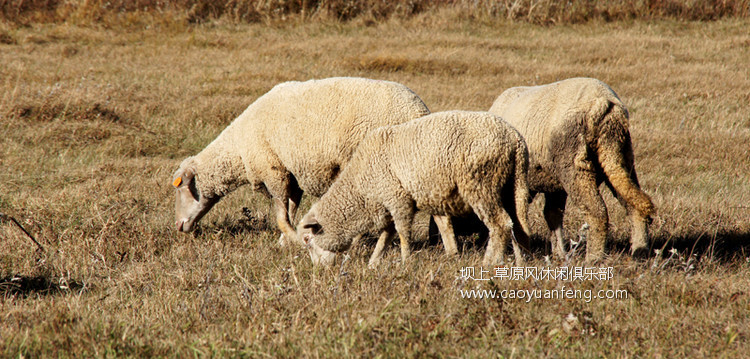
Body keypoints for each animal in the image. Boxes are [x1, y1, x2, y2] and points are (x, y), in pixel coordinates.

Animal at [170, 76, 428, 245]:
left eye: (180, 186)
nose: (179, 226)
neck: (238, 150)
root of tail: (418, 111)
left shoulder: (273, 170)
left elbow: (281, 217)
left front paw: (295, 240)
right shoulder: (291, 174)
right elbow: (291, 211)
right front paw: (285, 242)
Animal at [296, 111, 532, 268]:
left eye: (307, 241)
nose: (318, 270)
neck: (361, 188)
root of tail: (515, 139)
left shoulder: (397, 199)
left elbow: (401, 232)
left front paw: (405, 260)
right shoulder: (390, 204)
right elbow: (386, 235)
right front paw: (374, 263)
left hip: (481, 183)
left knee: (500, 224)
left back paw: (489, 262)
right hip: (510, 186)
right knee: (516, 224)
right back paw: (520, 262)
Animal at [488, 77, 656, 262]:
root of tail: (603, 102)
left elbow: (517, 219)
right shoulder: (554, 185)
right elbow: (552, 214)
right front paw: (559, 253)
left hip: (575, 166)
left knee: (597, 213)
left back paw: (593, 259)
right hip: (620, 157)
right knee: (633, 205)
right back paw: (640, 252)